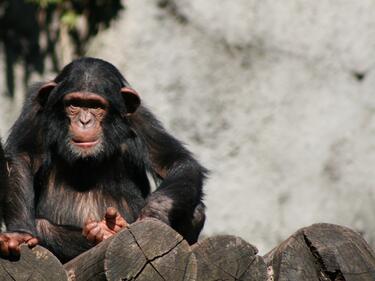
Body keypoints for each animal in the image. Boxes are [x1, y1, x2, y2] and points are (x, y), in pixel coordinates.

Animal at [0, 57, 207, 260]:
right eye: (74, 104)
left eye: (96, 106)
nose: (84, 121)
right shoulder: (35, 108)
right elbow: (22, 157)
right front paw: (19, 234)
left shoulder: (140, 118)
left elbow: (174, 161)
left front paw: (154, 213)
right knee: (42, 225)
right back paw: (104, 232)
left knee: (197, 211)